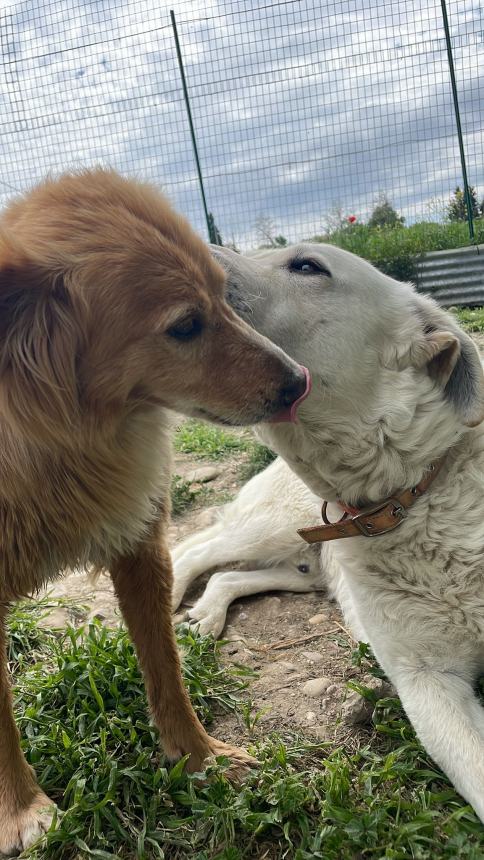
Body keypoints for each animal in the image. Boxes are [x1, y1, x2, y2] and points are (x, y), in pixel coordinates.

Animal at [0, 170, 306, 852]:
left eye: (224, 296)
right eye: (186, 326)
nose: (301, 382)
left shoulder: (140, 547)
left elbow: (166, 669)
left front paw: (199, 758)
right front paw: (22, 811)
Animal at [174, 242, 484, 820]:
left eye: (307, 266)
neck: (414, 493)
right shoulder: (425, 681)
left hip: (307, 566)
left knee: (229, 576)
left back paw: (207, 614)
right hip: (269, 529)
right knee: (192, 551)